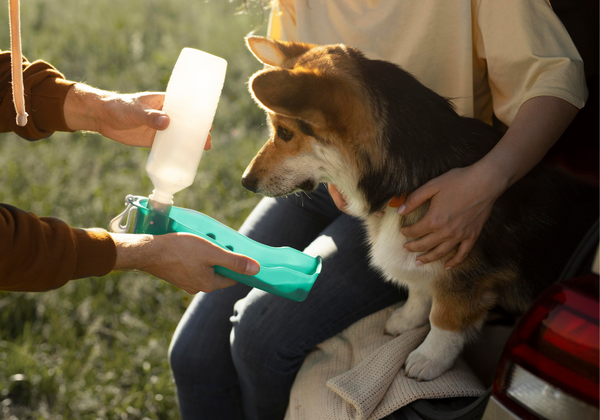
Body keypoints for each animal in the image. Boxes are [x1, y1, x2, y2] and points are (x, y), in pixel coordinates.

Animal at [241, 37, 596, 380]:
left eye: (285, 133)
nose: (246, 182)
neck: (407, 181)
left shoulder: (466, 276)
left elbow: (444, 318)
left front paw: (429, 359)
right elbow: (418, 289)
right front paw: (407, 320)